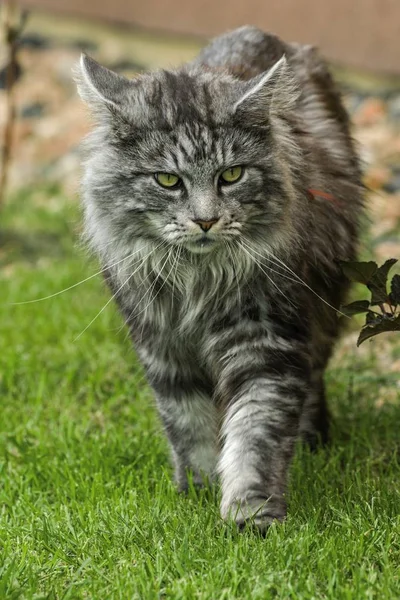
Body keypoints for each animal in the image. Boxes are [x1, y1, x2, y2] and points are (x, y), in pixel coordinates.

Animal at [74, 24, 362, 528]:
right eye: (168, 181)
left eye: (231, 175)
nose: (205, 220)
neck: (198, 282)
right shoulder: (163, 347)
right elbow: (190, 426)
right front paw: (199, 492)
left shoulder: (265, 342)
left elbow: (255, 433)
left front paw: (250, 514)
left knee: (312, 382)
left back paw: (312, 442)